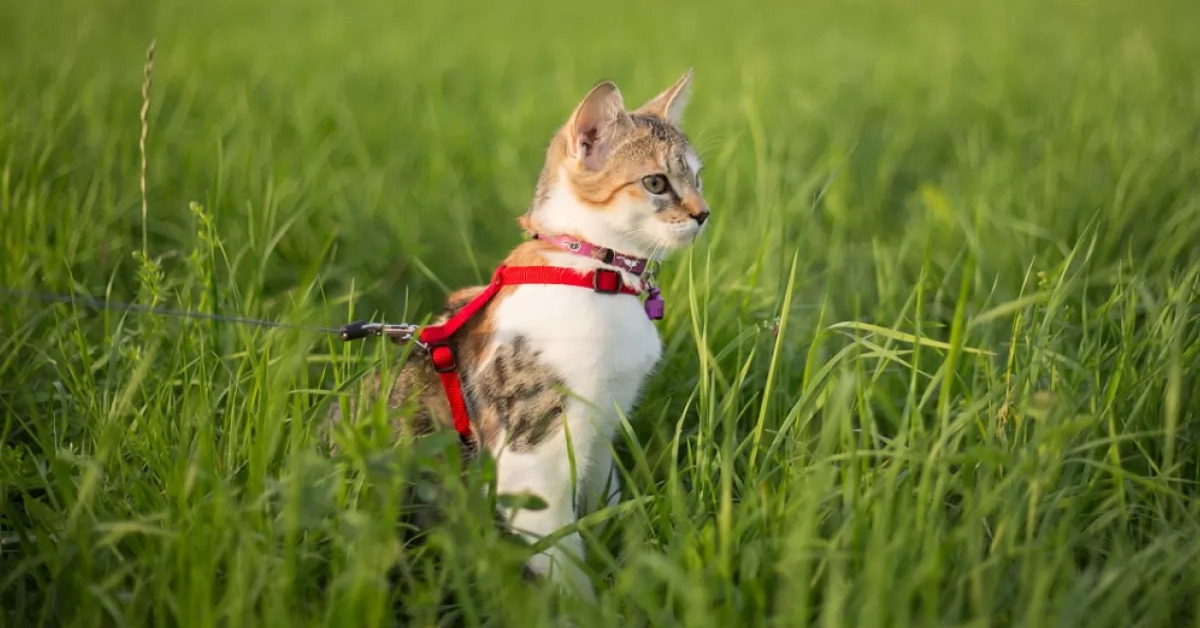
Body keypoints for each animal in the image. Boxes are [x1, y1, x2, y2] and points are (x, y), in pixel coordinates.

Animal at [328, 71, 710, 602]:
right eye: (656, 182)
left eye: (697, 178)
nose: (703, 213)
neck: (592, 272)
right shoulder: (531, 455)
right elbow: (560, 553)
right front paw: (584, 607)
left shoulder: (602, 429)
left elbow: (601, 503)